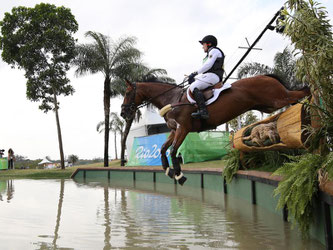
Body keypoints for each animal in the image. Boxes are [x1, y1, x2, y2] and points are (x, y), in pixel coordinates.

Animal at [120, 73, 310, 184]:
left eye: (128, 93)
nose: (123, 113)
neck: (172, 99)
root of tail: (267, 77)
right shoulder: (174, 130)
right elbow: (162, 149)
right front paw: (168, 170)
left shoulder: (183, 128)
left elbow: (173, 150)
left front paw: (179, 175)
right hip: (268, 106)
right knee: (297, 97)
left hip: (278, 99)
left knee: (303, 92)